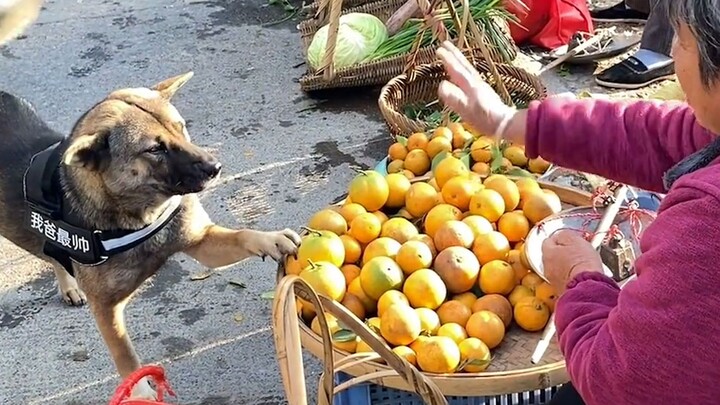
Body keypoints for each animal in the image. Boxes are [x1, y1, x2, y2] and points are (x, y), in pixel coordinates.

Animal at [0, 11, 304, 400]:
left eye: (181, 127)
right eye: (154, 148)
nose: (216, 167)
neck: (137, 214)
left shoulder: (202, 242)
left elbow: (241, 235)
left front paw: (270, 238)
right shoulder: (107, 311)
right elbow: (126, 356)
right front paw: (141, 390)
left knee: (50, 255)